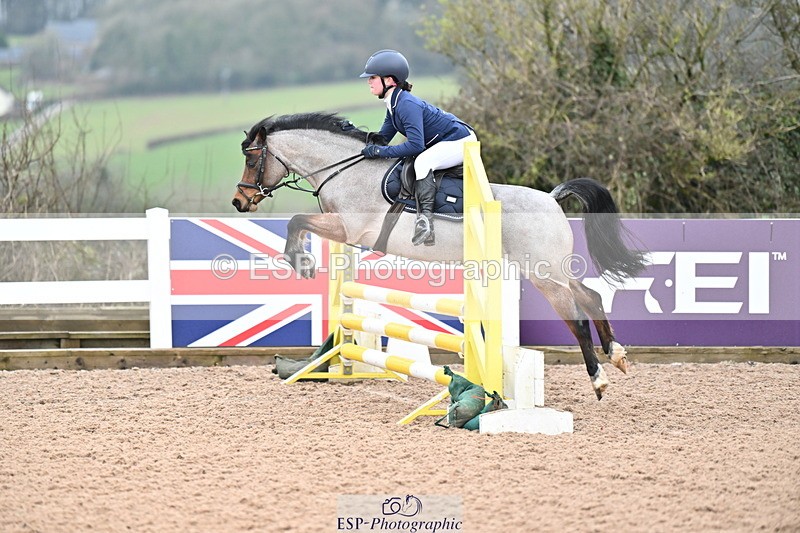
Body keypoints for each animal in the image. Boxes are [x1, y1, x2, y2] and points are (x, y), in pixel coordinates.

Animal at [232, 112, 647, 400]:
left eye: (252, 161)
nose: (239, 201)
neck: (344, 172)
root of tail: (551, 197)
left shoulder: (348, 229)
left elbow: (296, 222)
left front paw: (300, 262)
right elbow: (302, 225)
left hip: (542, 273)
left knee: (576, 318)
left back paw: (599, 380)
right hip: (551, 269)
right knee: (590, 296)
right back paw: (617, 355)